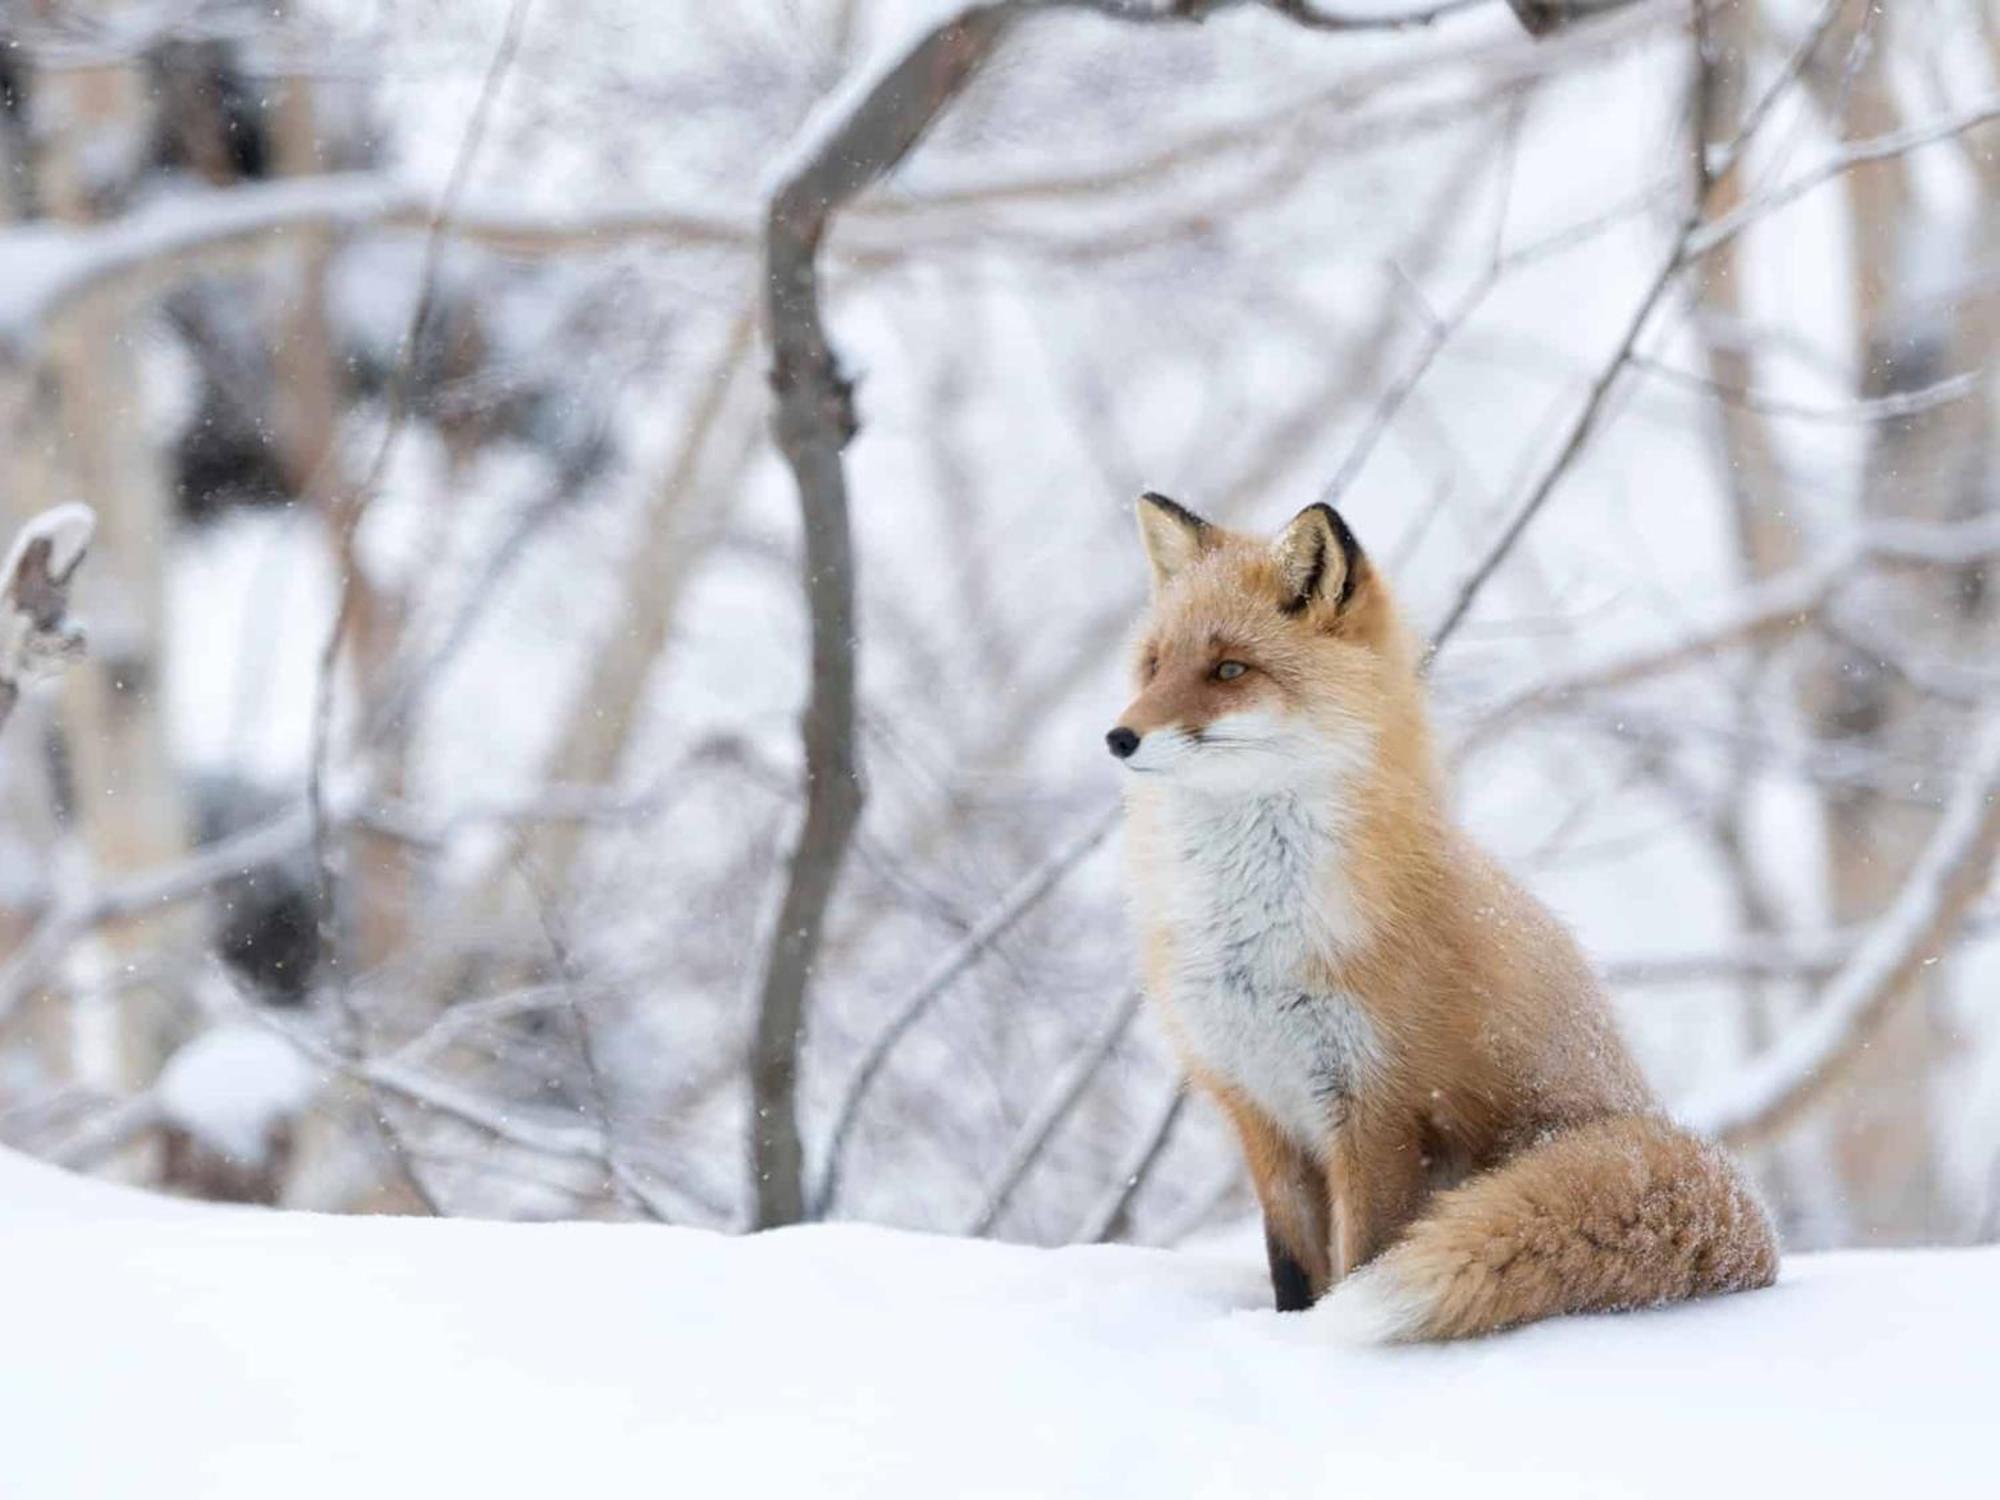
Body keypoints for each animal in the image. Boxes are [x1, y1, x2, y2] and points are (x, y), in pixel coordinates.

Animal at [1112, 500, 1784, 1344]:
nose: (1119, 737)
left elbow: (1362, 1258)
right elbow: (1292, 1270)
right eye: (1153, 665)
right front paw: (1289, 1334)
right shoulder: (1259, 1110)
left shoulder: (1377, 1111)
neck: (1255, 940)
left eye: (1230, 670)